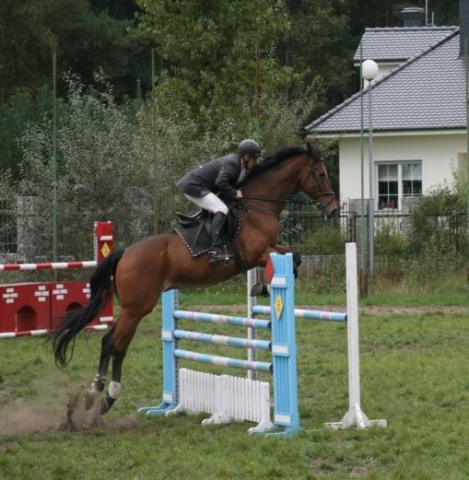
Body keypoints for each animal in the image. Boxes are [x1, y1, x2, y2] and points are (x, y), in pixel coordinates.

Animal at [52, 141, 336, 414]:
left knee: (111, 342)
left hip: (136, 307)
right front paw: (264, 287)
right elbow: (291, 259)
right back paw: (104, 396)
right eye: (322, 173)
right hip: (137, 308)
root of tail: (124, 253)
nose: (332, 210)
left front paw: (260, 287)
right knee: (115, 343)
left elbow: (295, 255)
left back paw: (98, 395)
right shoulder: (257, 253)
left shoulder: (270, 249)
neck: (257, 206)